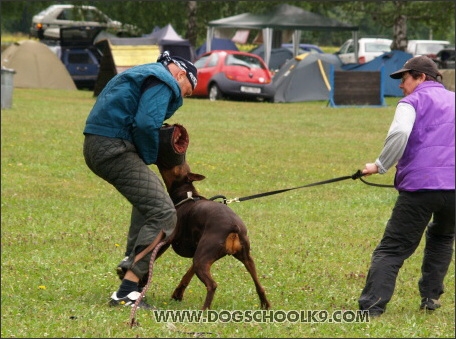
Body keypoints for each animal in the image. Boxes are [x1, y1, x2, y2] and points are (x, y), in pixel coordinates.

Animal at [157, 162, 270, 310]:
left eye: (178, 166)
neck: (186, 197)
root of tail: (234, 227)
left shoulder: (166, 241)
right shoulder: (198, 254)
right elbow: (187, 275)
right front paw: (177, 294)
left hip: (202, 259)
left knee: (212, 285)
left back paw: (204, 310)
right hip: (243, 258)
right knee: (259, 285)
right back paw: (265, 305)